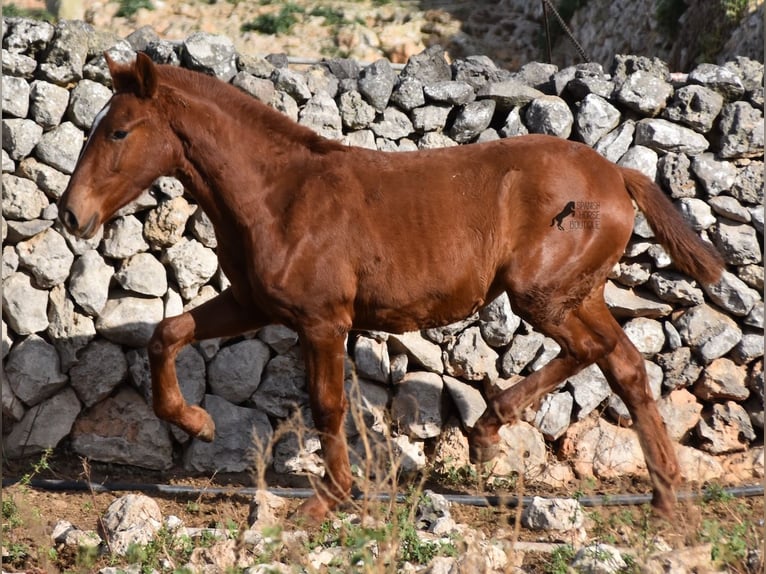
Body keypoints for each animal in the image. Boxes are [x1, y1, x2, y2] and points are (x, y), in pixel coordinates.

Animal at [60, 53, 728, 520]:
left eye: (118, 132)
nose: (71, 215)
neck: (280, 195)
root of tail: (615, 172)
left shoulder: (322, 320)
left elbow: (327, 404)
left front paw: (329, 499)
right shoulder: (254, 302)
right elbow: (167, 333)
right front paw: (197, 422)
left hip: (541, 295)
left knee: (596, 353)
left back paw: (488, 434)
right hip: (577, 294)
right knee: (627, 366)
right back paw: (666, 502)